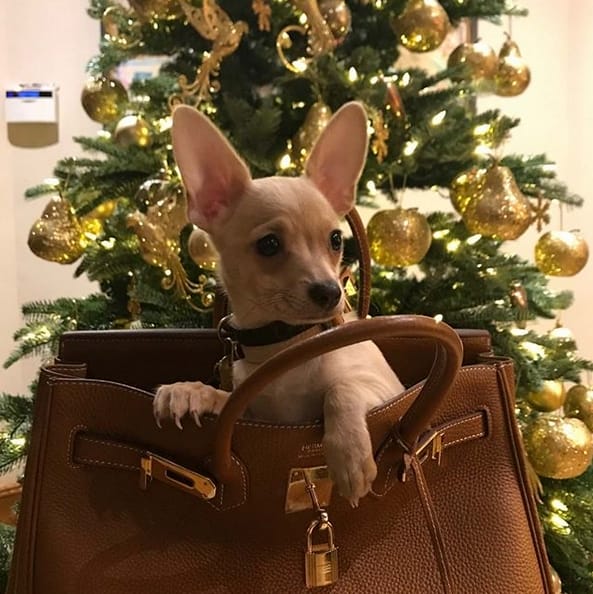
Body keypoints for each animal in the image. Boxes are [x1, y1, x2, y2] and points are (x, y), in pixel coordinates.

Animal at [153, 102, 404, 505]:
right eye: (268, 245)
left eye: (336, 240)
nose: (331, 292)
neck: (284, 345)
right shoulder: (258, 417)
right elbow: (226, 398)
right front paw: (192, 391)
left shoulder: (385, 389)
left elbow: (340, 390)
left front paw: (348, 456)